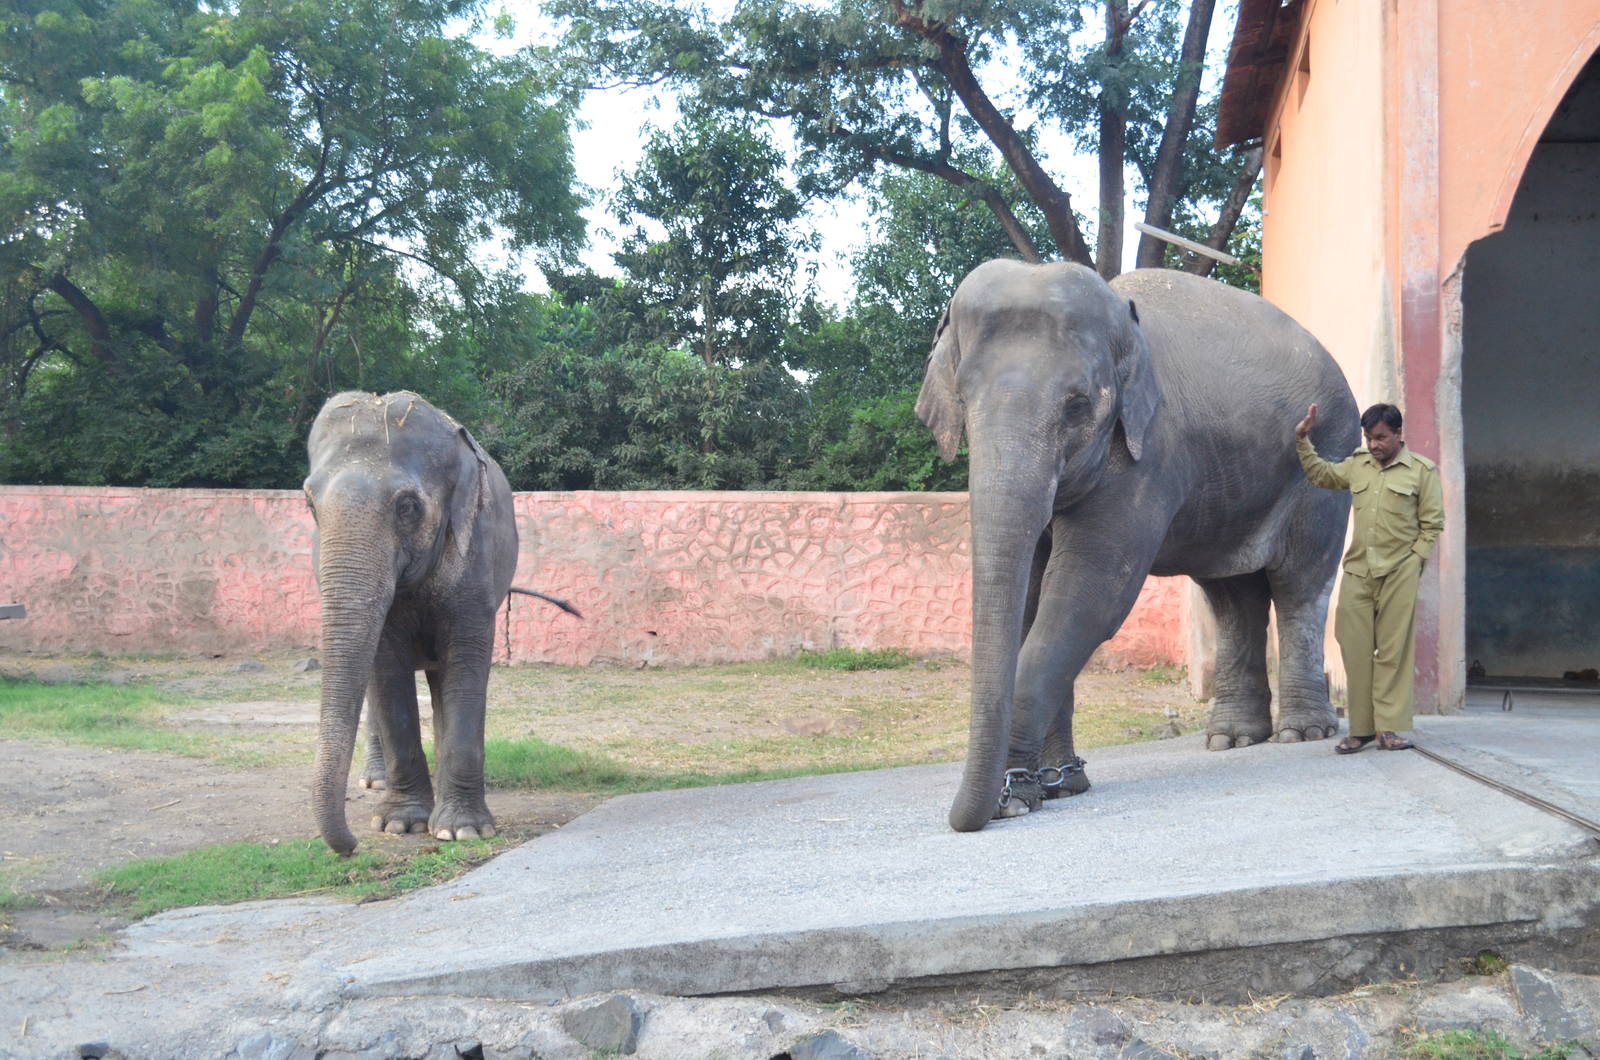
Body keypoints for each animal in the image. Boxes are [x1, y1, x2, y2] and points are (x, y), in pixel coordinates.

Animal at [303, 390, 518, 855]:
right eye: (310, 504)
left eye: (407, 506)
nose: (351, 847)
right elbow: (386, 669)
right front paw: (400, 824)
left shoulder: (476, 556)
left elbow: (466, 663)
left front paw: (462, 830)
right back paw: (375, 781)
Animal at [916, 261, 1358, 832]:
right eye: (964, 399)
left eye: (1077, 405)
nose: (967, 816)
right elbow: (1034, 598)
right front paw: (1059, 786)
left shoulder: (1148, 455)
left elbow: (1088, 595)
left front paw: (1012, 798)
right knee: (1232, 595)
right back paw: (1232, 739)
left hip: (1328, 456)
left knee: (1299, 583)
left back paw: (1302, 734)